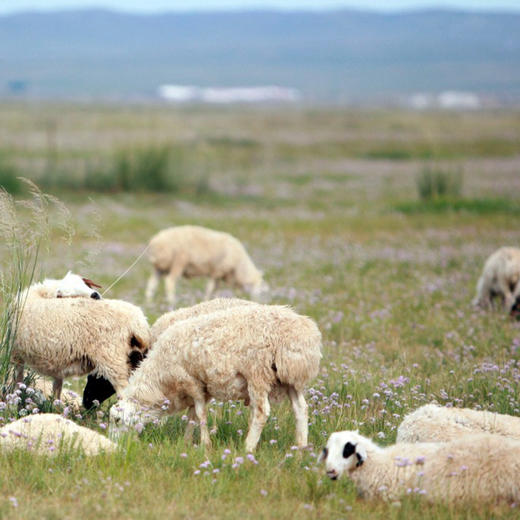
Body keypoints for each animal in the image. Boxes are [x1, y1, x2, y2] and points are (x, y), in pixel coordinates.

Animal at [109, 304, 320, 450]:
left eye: (117, 420)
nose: (116, 445)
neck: (159, 380)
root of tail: (302, 335)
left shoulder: (192, 382)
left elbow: (200, 414)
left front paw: (205, 444)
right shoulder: (200, 388)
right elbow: (192, 416)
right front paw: (186, 442)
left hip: (258, 373)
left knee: (262, 412)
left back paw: (248, 447)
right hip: (290, 378)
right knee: (301, 410)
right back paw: (301, 447)